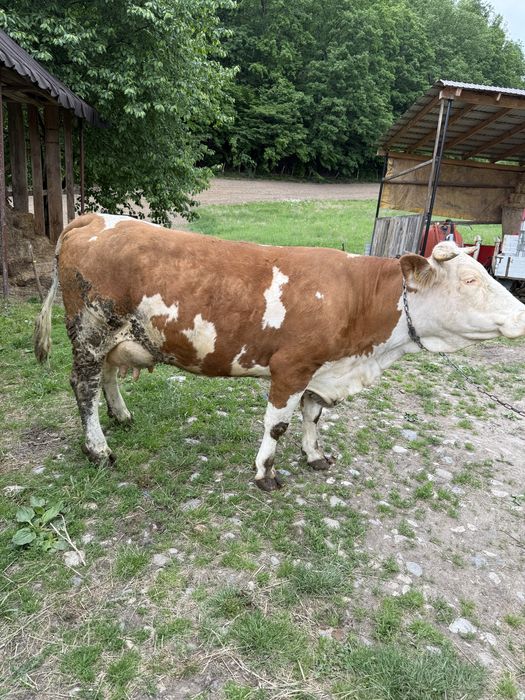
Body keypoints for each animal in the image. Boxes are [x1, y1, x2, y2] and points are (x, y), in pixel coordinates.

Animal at [34, 213, 525, 491]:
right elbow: (278, 425)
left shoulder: (320, 368)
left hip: (115, 335)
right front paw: (266, 473)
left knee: (107, 376)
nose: (522, 313)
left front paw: (314, 456)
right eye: (470, 279)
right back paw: (98, 449)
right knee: (83, 386)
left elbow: (313, 416)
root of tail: (94, 218)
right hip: (91, 328)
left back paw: (121, 416)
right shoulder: (291, 367)